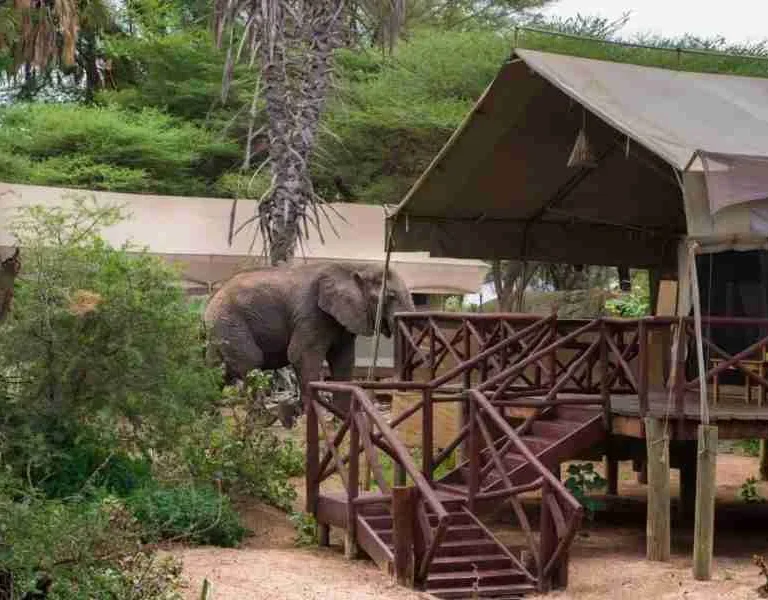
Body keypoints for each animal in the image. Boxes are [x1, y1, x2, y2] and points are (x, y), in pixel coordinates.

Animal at [203, 261, 415, 423]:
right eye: (391, 296)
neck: (353, 267)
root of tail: (209, 301)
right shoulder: (311, 313)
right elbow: (301, 356)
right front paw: (317, 419)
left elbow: (343, 361)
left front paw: (340, 421)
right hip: (230, 322)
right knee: (251, 362)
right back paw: (264, 420)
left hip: (220, 329)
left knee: (218, 369)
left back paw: (208, 417)